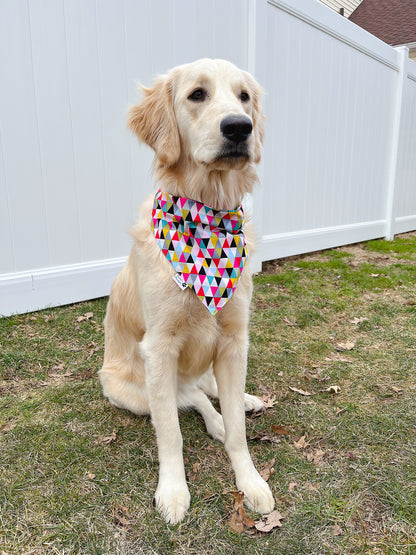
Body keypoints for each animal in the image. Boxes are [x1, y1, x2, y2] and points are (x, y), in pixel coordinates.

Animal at [98, 58, 274, 524]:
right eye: (197, 94)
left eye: (244, 97)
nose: (240, 127)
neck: (208, 216)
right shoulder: (160, 347)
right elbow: (171, 434)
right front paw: (174, 491)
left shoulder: (234, 341)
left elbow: (238, 433)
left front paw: (250, 482)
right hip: (129, 389)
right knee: (187, 398)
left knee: (204, 391)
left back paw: (241, 402)